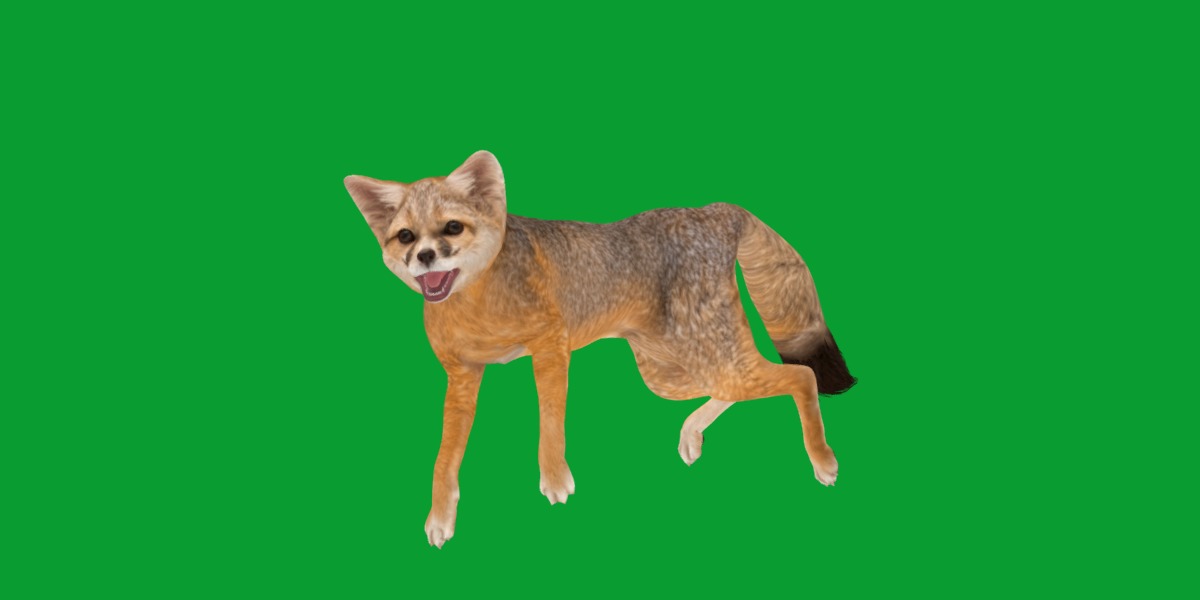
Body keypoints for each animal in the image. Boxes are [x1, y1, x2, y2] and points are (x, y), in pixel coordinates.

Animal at [344, 151, 855, 548]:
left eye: (452, 228)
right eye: (406, 237)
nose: (425, 257)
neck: (478, 302)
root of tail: (712, 209)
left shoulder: (551, 347)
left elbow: (550, 422)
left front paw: (554, 479)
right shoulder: (463, 376)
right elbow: (444, 458)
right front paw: (440, 517)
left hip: (708, 357)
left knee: (802, 376)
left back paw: (824, 459)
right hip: (673, 373)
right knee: (740, 388)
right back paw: (692, 431)